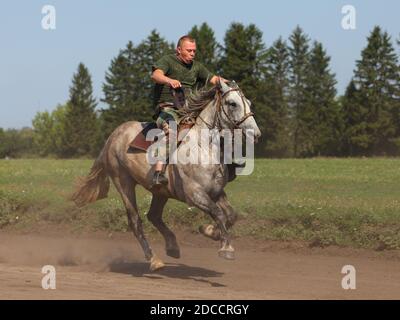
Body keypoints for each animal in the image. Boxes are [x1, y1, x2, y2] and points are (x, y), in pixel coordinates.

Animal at [71, 79, 260, 272]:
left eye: (249, 102)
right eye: (232, 103)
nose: (255, 133)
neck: (203, 147)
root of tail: (112, 137)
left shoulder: (216, 192)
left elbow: (231, 214)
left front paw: (210, 232)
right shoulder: (195, 194)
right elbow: (218, 213)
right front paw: (226, 248)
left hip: (160, 192)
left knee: (153, 216)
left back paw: (172, 246)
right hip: (123, 183)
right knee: (136, 221)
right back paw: (154, 259)